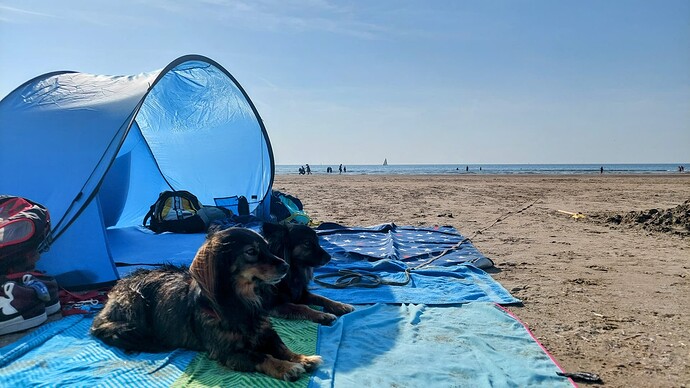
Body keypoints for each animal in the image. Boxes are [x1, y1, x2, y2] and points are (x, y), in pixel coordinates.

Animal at [89, 227, 322, 382]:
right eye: (251, 251)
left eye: (267, 247)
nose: (286, 266)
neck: (240, 301)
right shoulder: (228, 352)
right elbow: (261, 355)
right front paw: (286, 367)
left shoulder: (265, 330)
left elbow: (281, 346)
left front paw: (302, 358)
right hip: (134, 304)